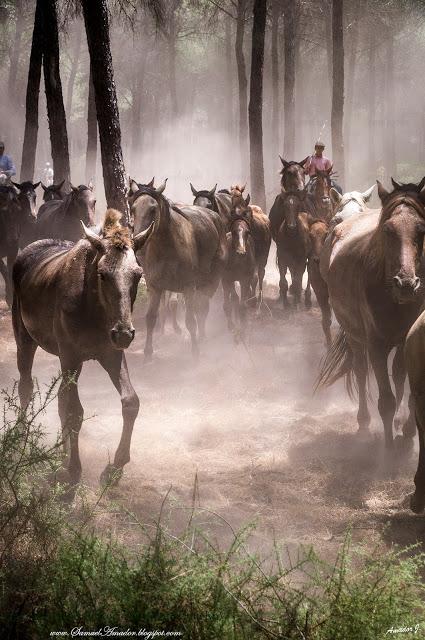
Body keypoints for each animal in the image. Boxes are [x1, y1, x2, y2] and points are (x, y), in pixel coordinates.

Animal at [12, 209, 154, 484]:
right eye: (102, 273)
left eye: (138, 274)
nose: (124, 332)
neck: (93, 309)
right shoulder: (70, 356)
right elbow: (75, 412)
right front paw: (75, 469)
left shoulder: (110, 355)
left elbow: (130, 401)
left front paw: (115, 466)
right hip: (24, 339)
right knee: (26, 386)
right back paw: (22, 438)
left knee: (59, 398)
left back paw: (62, 453)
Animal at [130, 180, 227, 360]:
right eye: (132, 209)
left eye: (153, 209)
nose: (138, 246)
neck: (167, 247)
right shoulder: (155, 287)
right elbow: (151, 318)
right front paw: (148, 353)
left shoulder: (188, 287)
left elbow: (190, 320)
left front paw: (195, 351)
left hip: (211, 280)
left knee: (202, 307)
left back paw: (202, 337)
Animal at [316, 178, 424, 450]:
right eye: (387, 230)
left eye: (421, 230)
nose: (407, 284)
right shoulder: (376, 345)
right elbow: (385, 400)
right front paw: (388, 450)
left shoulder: (407, 340)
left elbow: (405, 387)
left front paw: (407, 429)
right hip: (355, 337)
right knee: (361, 370)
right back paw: (364, 424)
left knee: (397, 375)